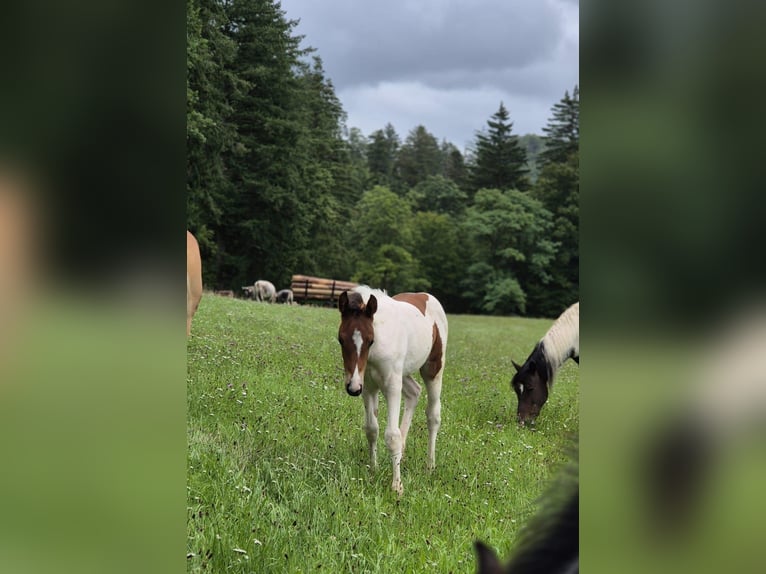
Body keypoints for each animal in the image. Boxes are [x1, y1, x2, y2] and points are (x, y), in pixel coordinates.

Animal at [337, 286, 448, 496]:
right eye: (340, 339)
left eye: (370, 340)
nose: (352, 388)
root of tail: (425, 295)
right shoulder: (368, 387)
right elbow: (372, 429)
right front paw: (374, 470)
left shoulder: (391, 386)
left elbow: (392, 436)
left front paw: (397, 486)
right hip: (403, 373)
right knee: (414, 392)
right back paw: (402, 455)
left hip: (432, 369)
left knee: (433, 415)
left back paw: (430, 465)